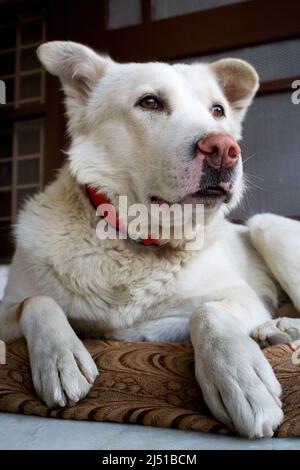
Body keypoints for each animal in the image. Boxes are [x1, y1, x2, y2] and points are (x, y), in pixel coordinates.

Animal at [0, 40, 300, 436]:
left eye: (217, 110)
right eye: (150, 102)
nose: (224, 148)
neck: (138, 243)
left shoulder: (240, 298)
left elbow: (206, 311)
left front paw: (240, 378)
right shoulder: (12, 306)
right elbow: (35, 301)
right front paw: (60, 356)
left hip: (267, 226)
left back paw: (278, 327)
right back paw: (275, 330)